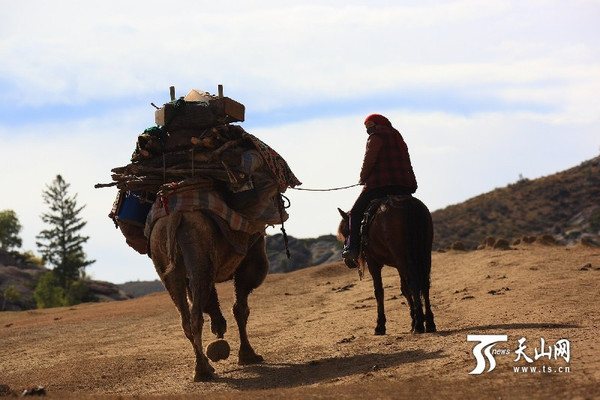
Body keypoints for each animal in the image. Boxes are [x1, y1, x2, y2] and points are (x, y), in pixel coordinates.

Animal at [338, 195, 436, 336]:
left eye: (346, 232)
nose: (346, 256)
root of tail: (408, 204)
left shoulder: (373, 263)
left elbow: (379, 291)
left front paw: (380, 325)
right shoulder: (398, 265)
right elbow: (405, 289)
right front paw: (413, 321)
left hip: (404, 257)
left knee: (414, 283)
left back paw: (419, 325)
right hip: (424, 254)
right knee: (424, 284)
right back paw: (429, 322)